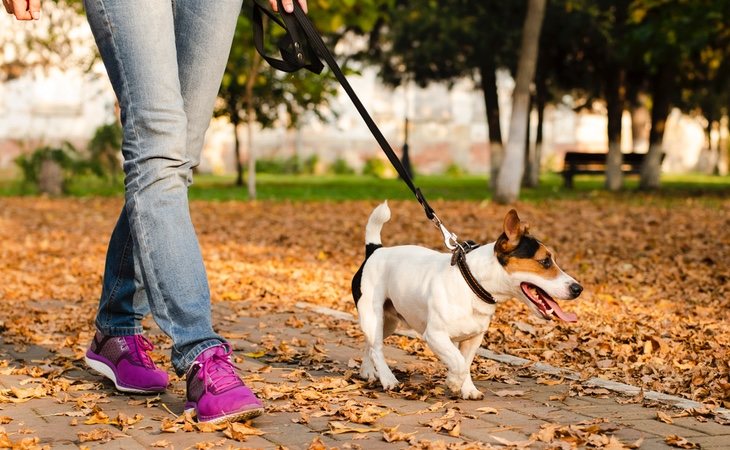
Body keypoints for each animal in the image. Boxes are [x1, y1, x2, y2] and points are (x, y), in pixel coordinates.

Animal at [350, 202, 584, 400]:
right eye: (545, 262)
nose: (578, 289)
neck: (472, 282)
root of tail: (375, 250)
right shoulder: (435, 335)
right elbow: (459, 363)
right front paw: (454, 382)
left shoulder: (473, 338)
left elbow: (466, 361)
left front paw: (467, 389)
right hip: (373, 315)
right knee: (377, 348)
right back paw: (388, 379)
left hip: (388, 322)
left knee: (370, 344)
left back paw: (368, 371)